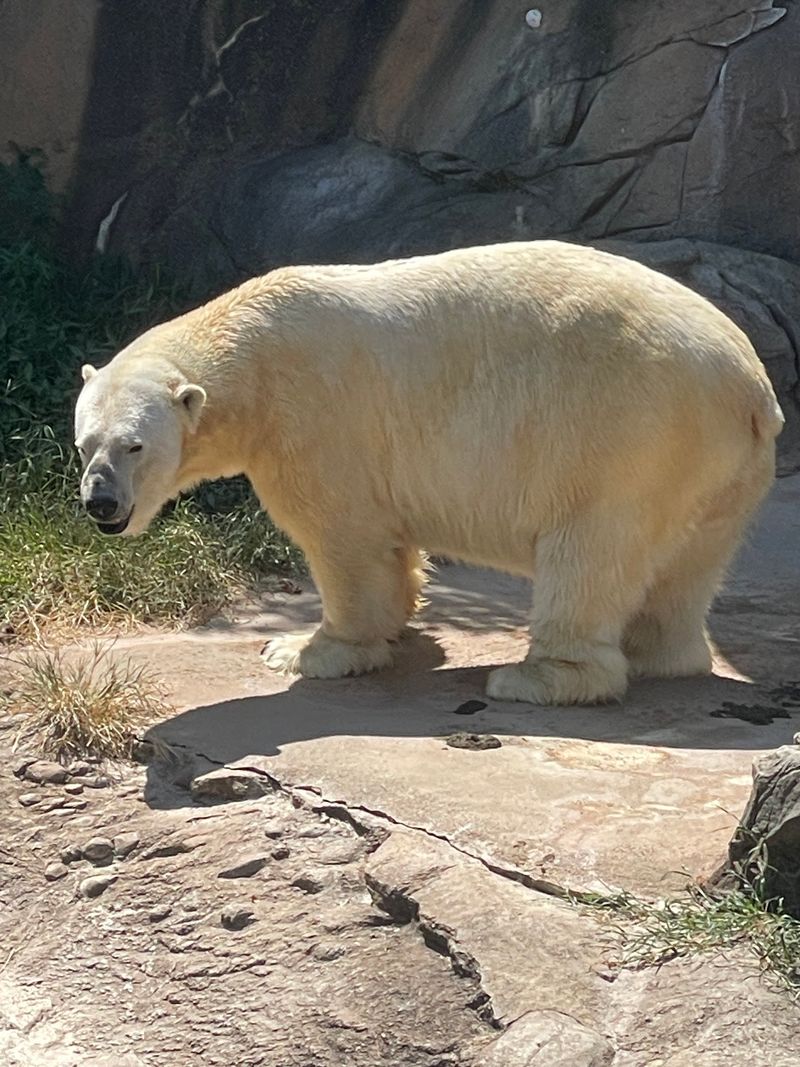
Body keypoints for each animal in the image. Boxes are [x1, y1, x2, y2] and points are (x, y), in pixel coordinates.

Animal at [73, 240, 784, 706]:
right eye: (84, 445)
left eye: (135, 446)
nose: (100, 503)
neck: (252, 348)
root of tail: (752, 389)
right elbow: (392, 546)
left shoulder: (316, 417)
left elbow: (344, 537)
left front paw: (305, 650)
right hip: (717, 466)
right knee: (688, 565)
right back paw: (660, 655)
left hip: (630, 434)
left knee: (591, 552)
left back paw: (534, 678)